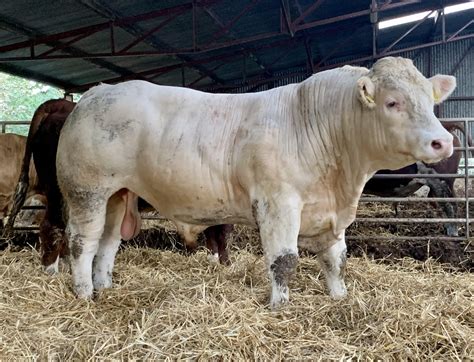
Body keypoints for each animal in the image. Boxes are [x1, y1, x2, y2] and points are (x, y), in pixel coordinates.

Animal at [5, 97, 231, 272]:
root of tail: (60, 105)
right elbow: (220, 233)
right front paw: (223, 263)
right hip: (57, 191)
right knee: (51, 225)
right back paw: (51, 271)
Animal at [55, 56, 456, 306]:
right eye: (392, 102)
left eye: (430, 100)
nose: (444, 141)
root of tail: (97, 92)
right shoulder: (278, 203)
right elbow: (284, 260)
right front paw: (279, 306)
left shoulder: (331, 214)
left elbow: (336, 259)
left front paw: (339, 298)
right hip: (87, 191)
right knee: (82, 242)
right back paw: (85, 293)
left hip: (118, 194)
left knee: (108, 243)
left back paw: (105, 286)